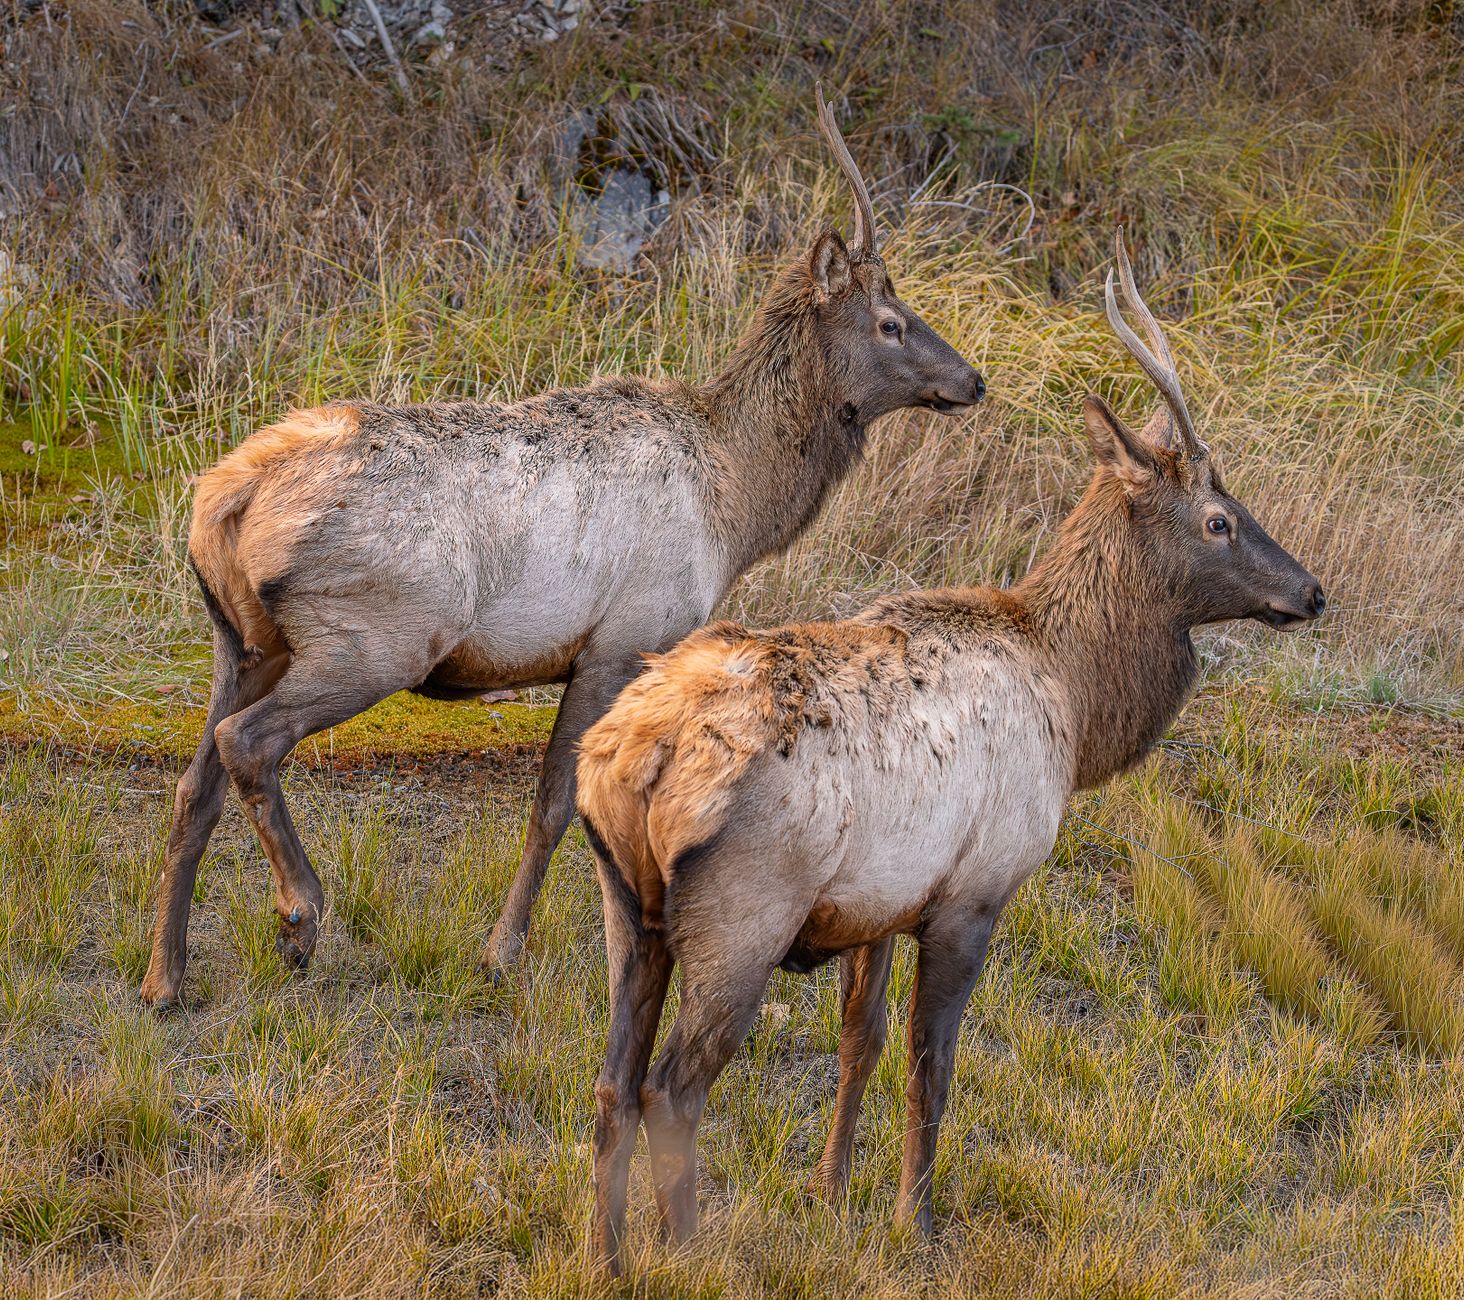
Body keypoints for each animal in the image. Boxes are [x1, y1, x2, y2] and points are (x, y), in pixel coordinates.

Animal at [137, 86, 986, 1008]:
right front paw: (500, 952)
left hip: (241, 639)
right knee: (247, 743)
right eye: (891, 323)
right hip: (372, 636)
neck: (735, 503)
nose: (972, 379)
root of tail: (224, 500)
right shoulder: (621, 638)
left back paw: (163, 977)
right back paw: (300, 916)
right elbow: (554, 803)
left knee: (191, 784)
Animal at [576, 229, 1327, 1274]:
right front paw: (913, 1222)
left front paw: (830, 1192)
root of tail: (632, 757)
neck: (1075, 699)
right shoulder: (975, 891)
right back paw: (688, 1253)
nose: (1311, 591)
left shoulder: (881, 905)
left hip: (625, 902)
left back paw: (608, 1256)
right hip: (744, 913)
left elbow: (861, 1042)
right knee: (672, 1089)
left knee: (612, 1081)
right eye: (1219, 519)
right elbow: (932, 1065)